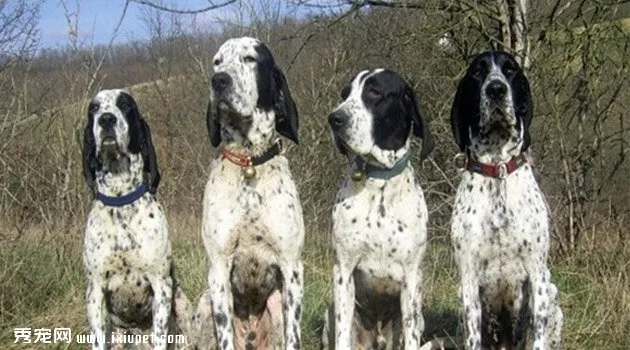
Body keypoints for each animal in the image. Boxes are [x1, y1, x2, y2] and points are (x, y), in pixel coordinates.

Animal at [82, 89, 194, 348]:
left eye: (125, 105)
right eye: (94, 108)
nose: (106, 119)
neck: (121, 201)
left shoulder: (161, 286)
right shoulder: (95, 291)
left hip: (182, 305)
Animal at [199, 37, 304, 350]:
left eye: (250, 58)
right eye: (217, 62)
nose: (219, 80)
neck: (249, 161)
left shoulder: (292, 269)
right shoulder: (219, 269)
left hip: (277, 302)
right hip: (204, 302)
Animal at [324, 69, 436, 350]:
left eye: (374, 92)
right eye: (345, 94)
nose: (334, 118)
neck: (380, 185)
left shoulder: (411, 278)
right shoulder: (343, 271)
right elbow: (342, 335)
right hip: (331, 311)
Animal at [452, 52, 564, 350]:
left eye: (510, 69)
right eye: (477, 72)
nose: (496, 89)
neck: (497, 168)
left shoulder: (537, 276)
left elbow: (537, 332)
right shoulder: (468, 280)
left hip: (552, 294)